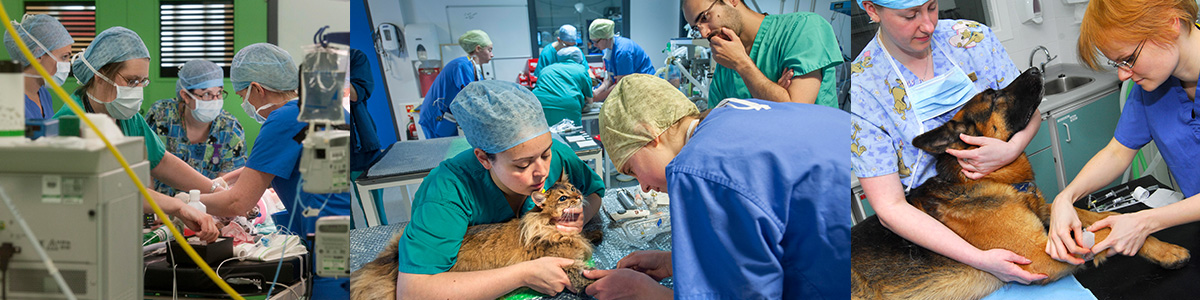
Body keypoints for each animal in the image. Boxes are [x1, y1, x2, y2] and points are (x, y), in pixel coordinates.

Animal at [352, 178, 600, 298]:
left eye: (573, 188)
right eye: (563, 198)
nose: (579, 196)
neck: (549, 226)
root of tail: (393, 259)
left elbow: (585, 234)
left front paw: (595, 233)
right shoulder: (565, 265)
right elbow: (585, 280)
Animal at [854, 68, 1190, 300]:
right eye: (992, 96)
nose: (1034, 69)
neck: (989, 180)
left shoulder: (1050, 212)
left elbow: (1104, 216)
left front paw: (1155, 242)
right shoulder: (1041, 253)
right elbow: (1106, 232)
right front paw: (1165, 251)